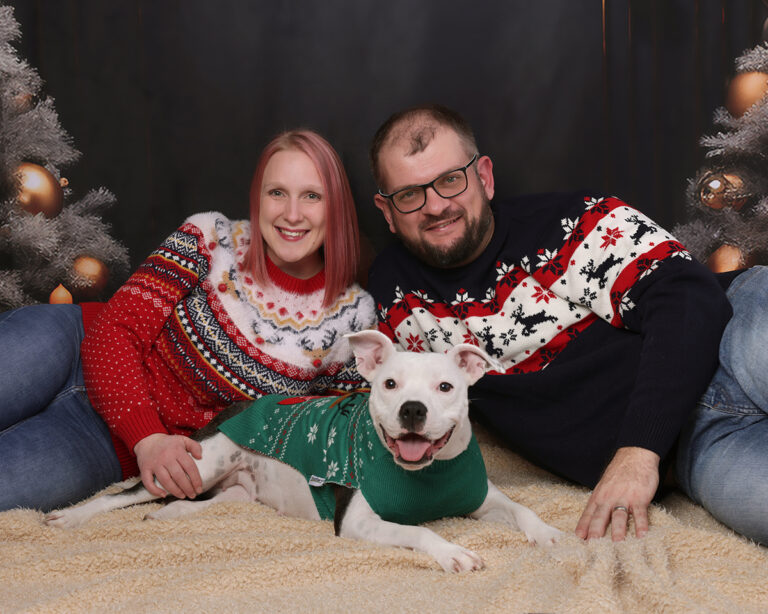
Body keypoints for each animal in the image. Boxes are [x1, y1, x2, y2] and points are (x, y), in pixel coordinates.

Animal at [46, 330, 561, 572]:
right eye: (390, 384)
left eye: (446, 387)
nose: (413, 409)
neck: (424, 474)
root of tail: (233, 407)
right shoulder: (357, 523)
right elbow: (419, 532)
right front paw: (452, 552)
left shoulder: (481, 497)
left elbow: (520, 509)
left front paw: (549, 533)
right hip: (202, 459)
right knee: (124, 494)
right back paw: (70, 517)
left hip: (234, 485)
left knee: (209, 501)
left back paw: (169, 515)